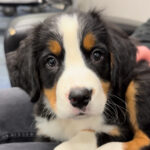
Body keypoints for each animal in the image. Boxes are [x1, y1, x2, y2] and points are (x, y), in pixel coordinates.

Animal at [6, 10, 150, 150]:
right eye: (51, 61)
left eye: (96, 55)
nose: (80, 97)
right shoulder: (46, 132)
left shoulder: (119, 129)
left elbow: (89, 134)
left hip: (138, 82)